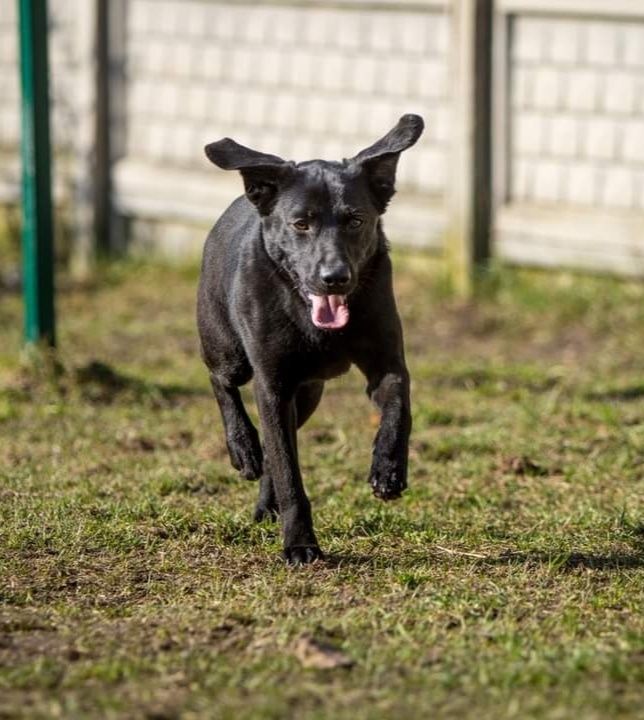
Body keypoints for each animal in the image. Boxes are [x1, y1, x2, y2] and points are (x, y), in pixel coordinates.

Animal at [199, 114, 426, 564]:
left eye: (355, 220)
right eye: (301, 224)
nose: (334, 277)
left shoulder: (386, 364)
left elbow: (399, 408)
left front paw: (388, 471)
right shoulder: (272, 386)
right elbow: (288, 471)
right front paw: (300, 544)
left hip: (308, 394)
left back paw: (264, 502)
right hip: (229, 351)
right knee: (222, 383)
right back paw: (243, 449)